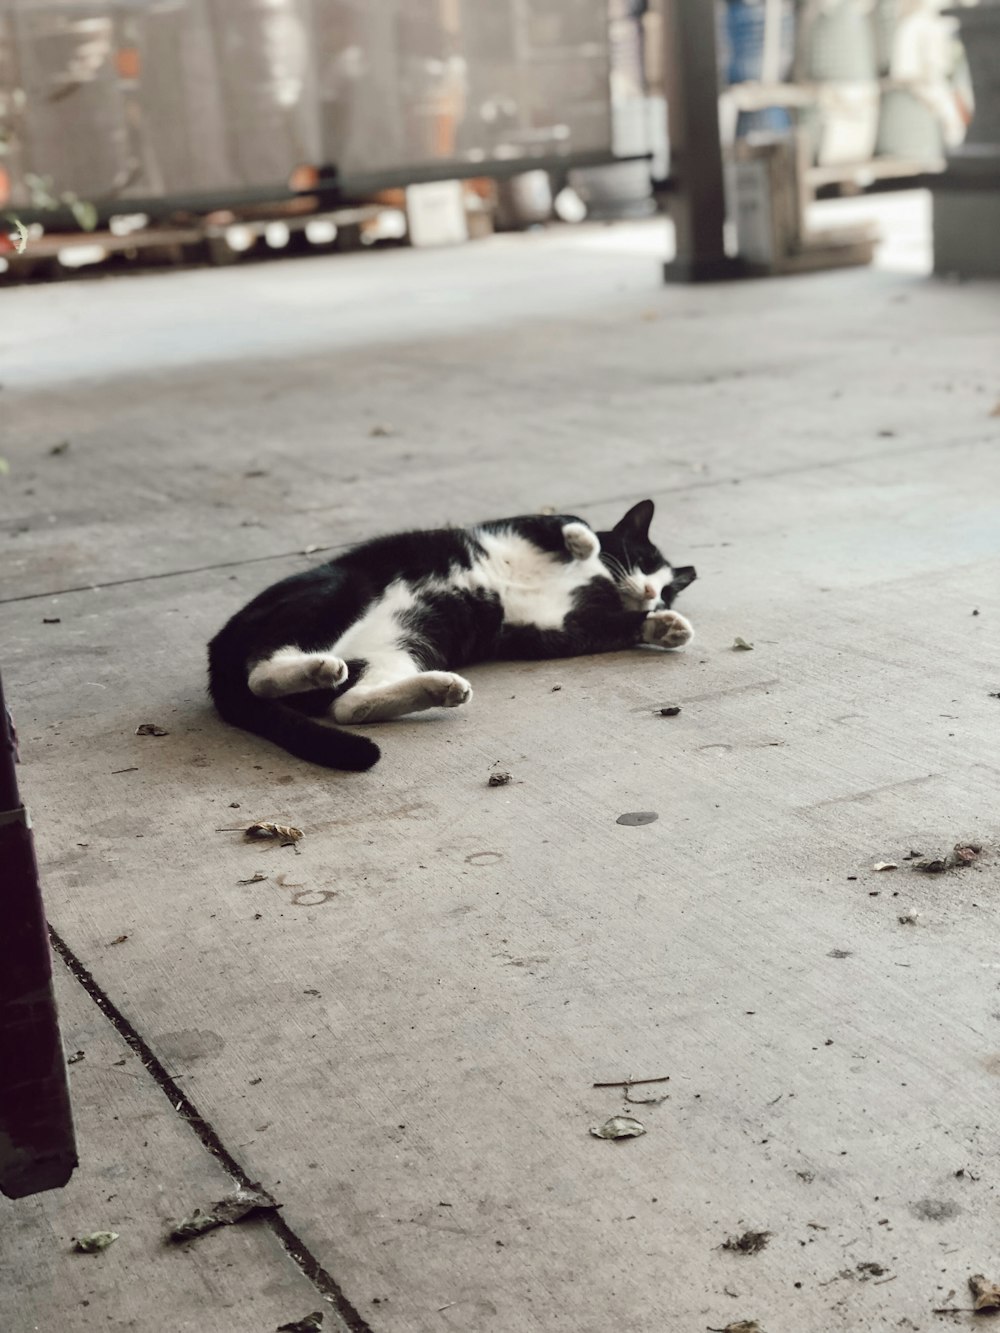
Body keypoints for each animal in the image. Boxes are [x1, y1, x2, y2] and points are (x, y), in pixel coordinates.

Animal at [209, 498, 698, 773]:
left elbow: (609, 630)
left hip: (406, 642)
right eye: (642, 560)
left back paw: (437, 687)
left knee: (348, 705)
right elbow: (565, 519)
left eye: (668, 591)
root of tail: (219, 644)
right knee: (262, 669)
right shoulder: (513, 526)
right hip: (342, 588)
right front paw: (583, 542)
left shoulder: (553, 631)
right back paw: (319, 666)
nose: (652, 595)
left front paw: (663, 626)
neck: (597, 585)